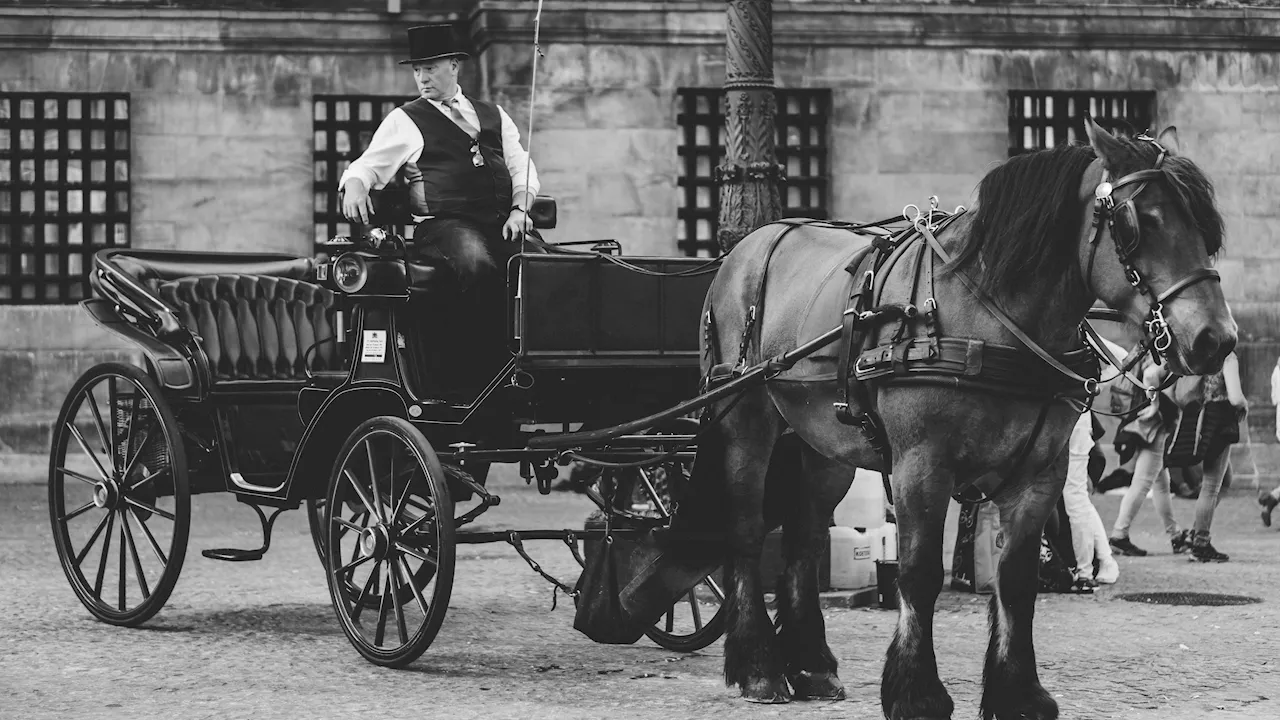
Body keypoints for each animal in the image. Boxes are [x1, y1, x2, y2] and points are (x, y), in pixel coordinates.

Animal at [686, 120, 1233, 712]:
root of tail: (745, 248)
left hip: (823, 445)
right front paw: (917, 694)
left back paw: (812, 665)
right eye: (1142, 222)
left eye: (1206, 227)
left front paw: (1019, 693)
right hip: (746, 423)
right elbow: (920, 574)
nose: (1217, 339)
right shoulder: (921, 465)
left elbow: (1015, 579)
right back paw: (759, 667)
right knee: (746, 529)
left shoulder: (1039, 473)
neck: (990, 316)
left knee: (804, 537)